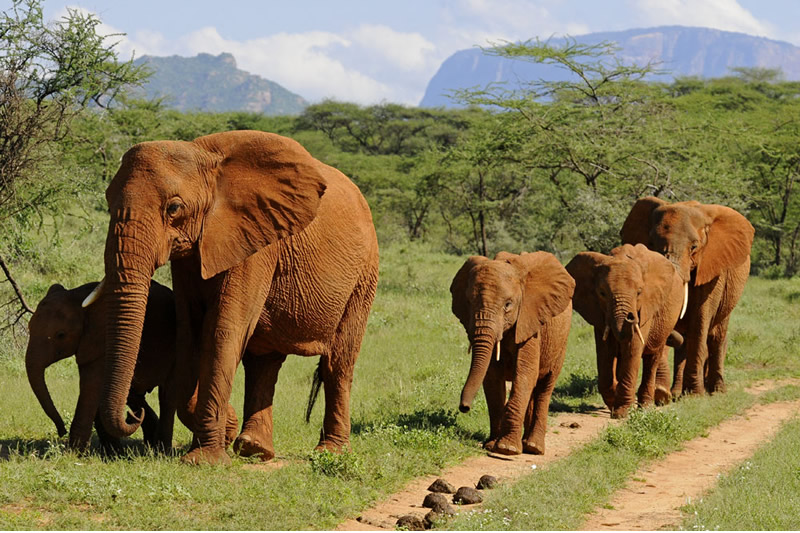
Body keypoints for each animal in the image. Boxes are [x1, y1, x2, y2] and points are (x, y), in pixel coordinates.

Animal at [27, 280, 180, 450]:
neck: (78, 296)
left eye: (61, 335)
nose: (62, 431)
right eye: (29, 327)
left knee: (167, 396)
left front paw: (75, 452)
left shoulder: (102, 340)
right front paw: (112, 451)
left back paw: (161, 449)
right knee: (133, 395)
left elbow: (91, 386)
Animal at [86, 131, 380, 464]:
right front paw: (223, 432)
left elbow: (222, 329)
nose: (134, 413)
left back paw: (330, 453)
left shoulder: (257, 242)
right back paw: (255, 449)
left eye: (174, 208)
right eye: (107, 202)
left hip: (364, 275)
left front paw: (203, 459)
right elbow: (191, 333)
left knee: (337, 363)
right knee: (264, 363)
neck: (203, 155)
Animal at [450, 249, 576, 454]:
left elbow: (525, 374)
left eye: (508, 305)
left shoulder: (530, 321)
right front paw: (492, 445)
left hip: (560, 343)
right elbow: (492, 377)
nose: (464, 408)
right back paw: (525, 443)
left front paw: (506, 448)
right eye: (469, 302)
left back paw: (534, 447)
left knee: (544, 387)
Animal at [564, 243, 684, 418]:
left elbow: (632, 347)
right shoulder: (599, 312)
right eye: (602, 293)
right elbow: (605, 351)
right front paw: (614, 404)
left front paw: (621, 413)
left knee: (652, 357)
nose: (630, 316)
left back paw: (646, 407)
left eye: (639, 292)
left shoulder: (646, 306)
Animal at [620, 195, 756, 394]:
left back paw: (716, 390)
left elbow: (700, 318)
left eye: (694, 247)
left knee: (716, 335)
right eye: (651, 244)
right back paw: (676, 392)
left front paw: (695, 394)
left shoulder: (712, 267)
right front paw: (661, 393)